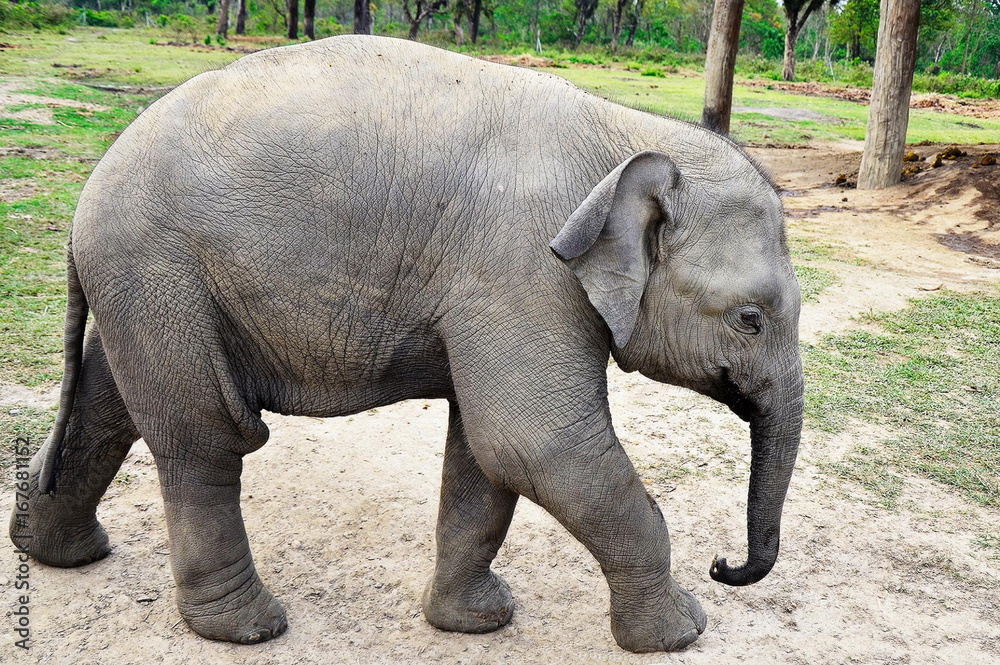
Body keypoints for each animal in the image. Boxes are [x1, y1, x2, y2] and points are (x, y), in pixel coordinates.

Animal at [9, 35, 803, 653]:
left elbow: (485, 456)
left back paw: (56, 554)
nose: (723, 564)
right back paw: (248, 629)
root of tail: (84, 197)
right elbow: (538, 441)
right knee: (204, 437)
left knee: (108, 403)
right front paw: (681, 632)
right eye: (750, 319)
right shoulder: (522, 270)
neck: (625, 135)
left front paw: (476, 622)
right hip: (160, 272)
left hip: (143, 288)